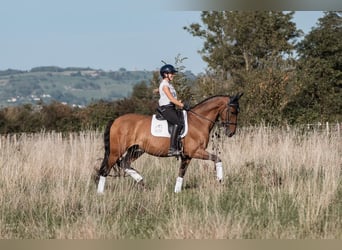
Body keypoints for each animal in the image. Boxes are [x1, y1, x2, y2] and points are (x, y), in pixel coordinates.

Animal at [95, 93, 242, 192]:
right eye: (232, 111)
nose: (231, 133)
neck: (199, 121)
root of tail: (116, 120)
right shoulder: (195, 151)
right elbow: (217, 158)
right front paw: (220, 179)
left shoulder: (187, 155)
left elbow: (182, 172)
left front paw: (177, 191)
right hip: (116, 151)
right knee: (106, 169)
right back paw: (100, 193)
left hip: (137, 149)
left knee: (124, 163)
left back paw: (142, 182)